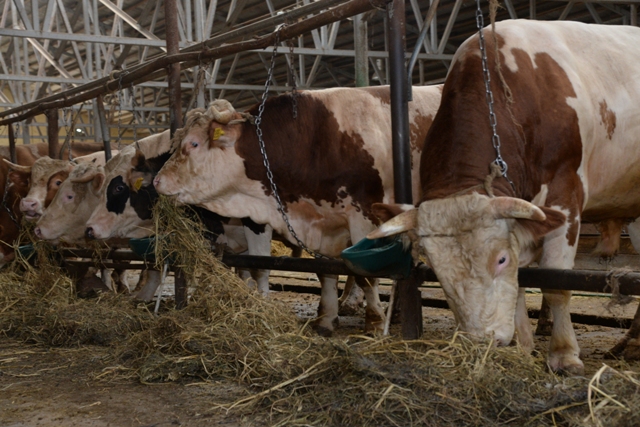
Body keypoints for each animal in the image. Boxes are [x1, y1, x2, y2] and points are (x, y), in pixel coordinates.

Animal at [152, 85, 443, 335]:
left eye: (193, 144)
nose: (157, 181)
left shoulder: (362, 215)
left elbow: (365, 276)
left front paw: (374, 323)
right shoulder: (320, 223)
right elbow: (323, 271)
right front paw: (325, 319)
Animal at [367, 20, 640, 374]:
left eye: (500, 260)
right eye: (436, 270)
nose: (486, 341)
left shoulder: (565, 196)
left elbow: (556, 282)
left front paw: (564, 354)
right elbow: (521, 282)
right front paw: (523, 347)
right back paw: (630, 343)